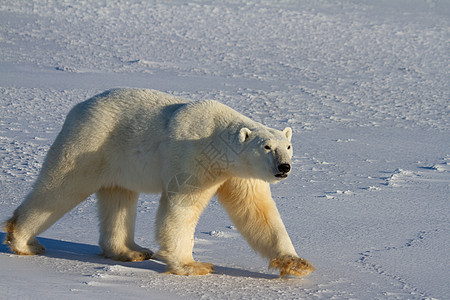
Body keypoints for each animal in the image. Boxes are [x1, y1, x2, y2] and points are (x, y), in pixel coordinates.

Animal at [5, 89, 314, 278]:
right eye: (266, 147)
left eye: (288, 146)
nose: (284, 167)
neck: (217, 142)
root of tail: (78, 108)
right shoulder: (193, 159)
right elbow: (180, 208)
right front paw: (193, 265)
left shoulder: (237, 174)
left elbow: (258, 212)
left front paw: (296, 263)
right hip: (92, 143)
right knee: (61, 187)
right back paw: (24, 242)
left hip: (118, 161)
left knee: (118, 198)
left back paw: (131, 251)